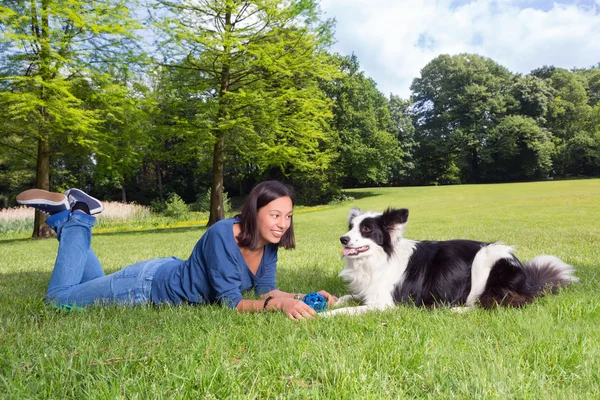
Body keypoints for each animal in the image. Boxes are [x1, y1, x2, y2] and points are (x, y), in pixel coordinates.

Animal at [322, 208, 580, 318]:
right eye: (350, 227)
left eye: (366, 230)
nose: (343, 239)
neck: (378, 258)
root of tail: (527, 281)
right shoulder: (368, 291)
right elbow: (347, 297)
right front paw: (332, 301)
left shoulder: (386, 304)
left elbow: (348, 309)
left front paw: (325, 315)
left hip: (486, 258)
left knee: (488, 302)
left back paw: (456, 309)